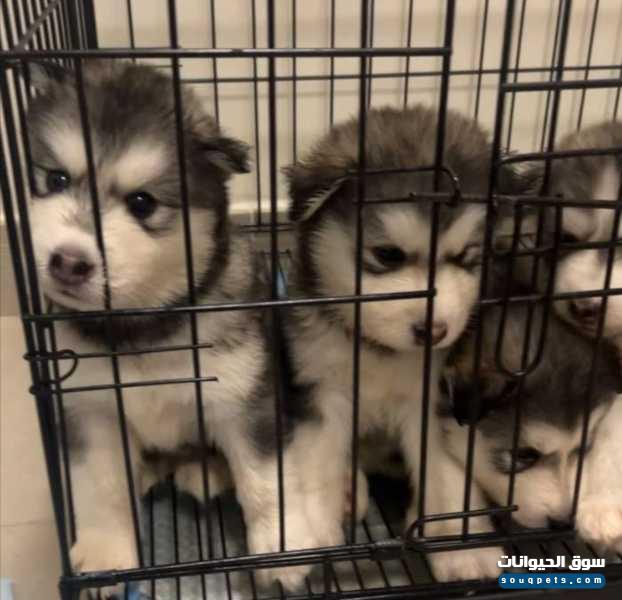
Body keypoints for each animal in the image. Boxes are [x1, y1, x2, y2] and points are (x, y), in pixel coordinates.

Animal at [25, 60, 316, 596]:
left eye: (142, 203)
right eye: (55, 179)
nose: (68, 262)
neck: (144, 328)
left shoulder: (245, 397)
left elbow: (264, 480)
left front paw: (282, 547)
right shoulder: (90, 409)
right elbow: (100, 487)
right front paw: (106, 552)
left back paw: (205, 468)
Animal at [283, 104, 525, 582]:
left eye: (466, 257)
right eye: (388, 255)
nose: (434, 331)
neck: (379, 352)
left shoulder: (435, 400)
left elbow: (444, 472)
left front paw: (460, 546)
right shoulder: (322, 388)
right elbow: (319, 458)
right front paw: (312, 526)